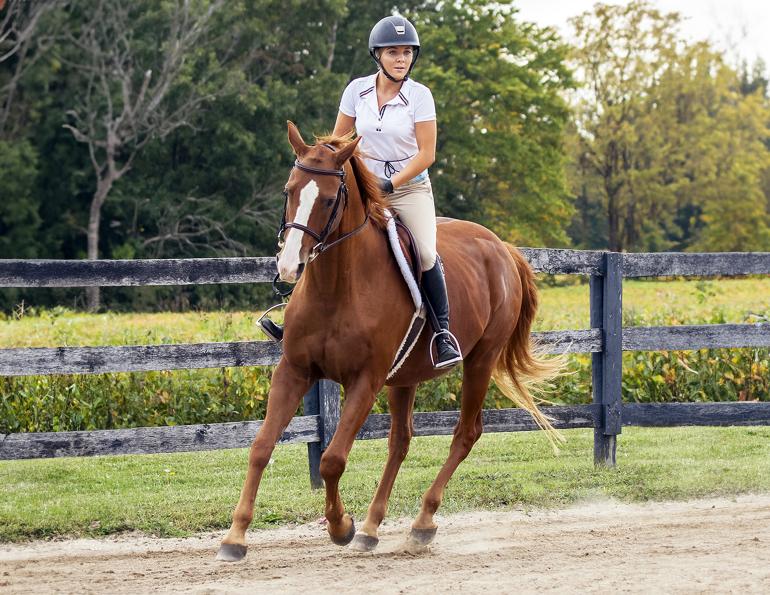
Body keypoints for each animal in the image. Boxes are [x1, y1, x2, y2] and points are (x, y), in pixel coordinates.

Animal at [216, 121, 561, 561]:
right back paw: (371, 527)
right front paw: (235, 537)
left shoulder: (366, 380)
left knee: (465, 434)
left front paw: (340, 526)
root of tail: (501, 247)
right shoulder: (294, 370)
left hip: (480, 361)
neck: (337, 287)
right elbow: (261, 446)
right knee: (400, 443)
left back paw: (420, 523)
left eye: (329, 200)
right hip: (406, 377)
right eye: (289, 190)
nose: (289, 267)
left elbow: (332, 459)